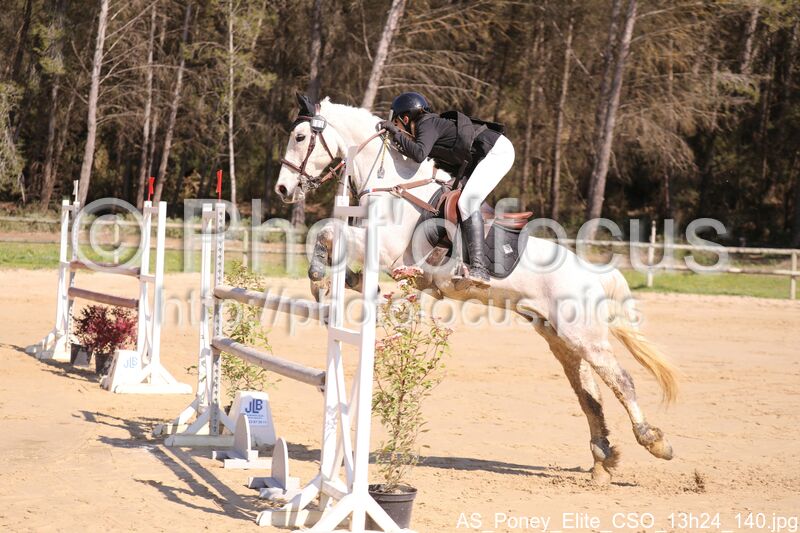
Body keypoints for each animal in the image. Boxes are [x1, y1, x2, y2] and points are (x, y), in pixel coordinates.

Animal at [274, 94, 678, 485]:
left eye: (300, 137)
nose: (282, 189)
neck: (394, 187)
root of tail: (593, 275)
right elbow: (338, 247)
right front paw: (337, 283)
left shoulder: (385, 247)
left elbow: (326, 230)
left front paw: (317, 276)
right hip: (560, 338)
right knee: (588, 393)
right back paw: (602, 461)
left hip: (584, 336)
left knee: (621, 380)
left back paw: (654, 442)